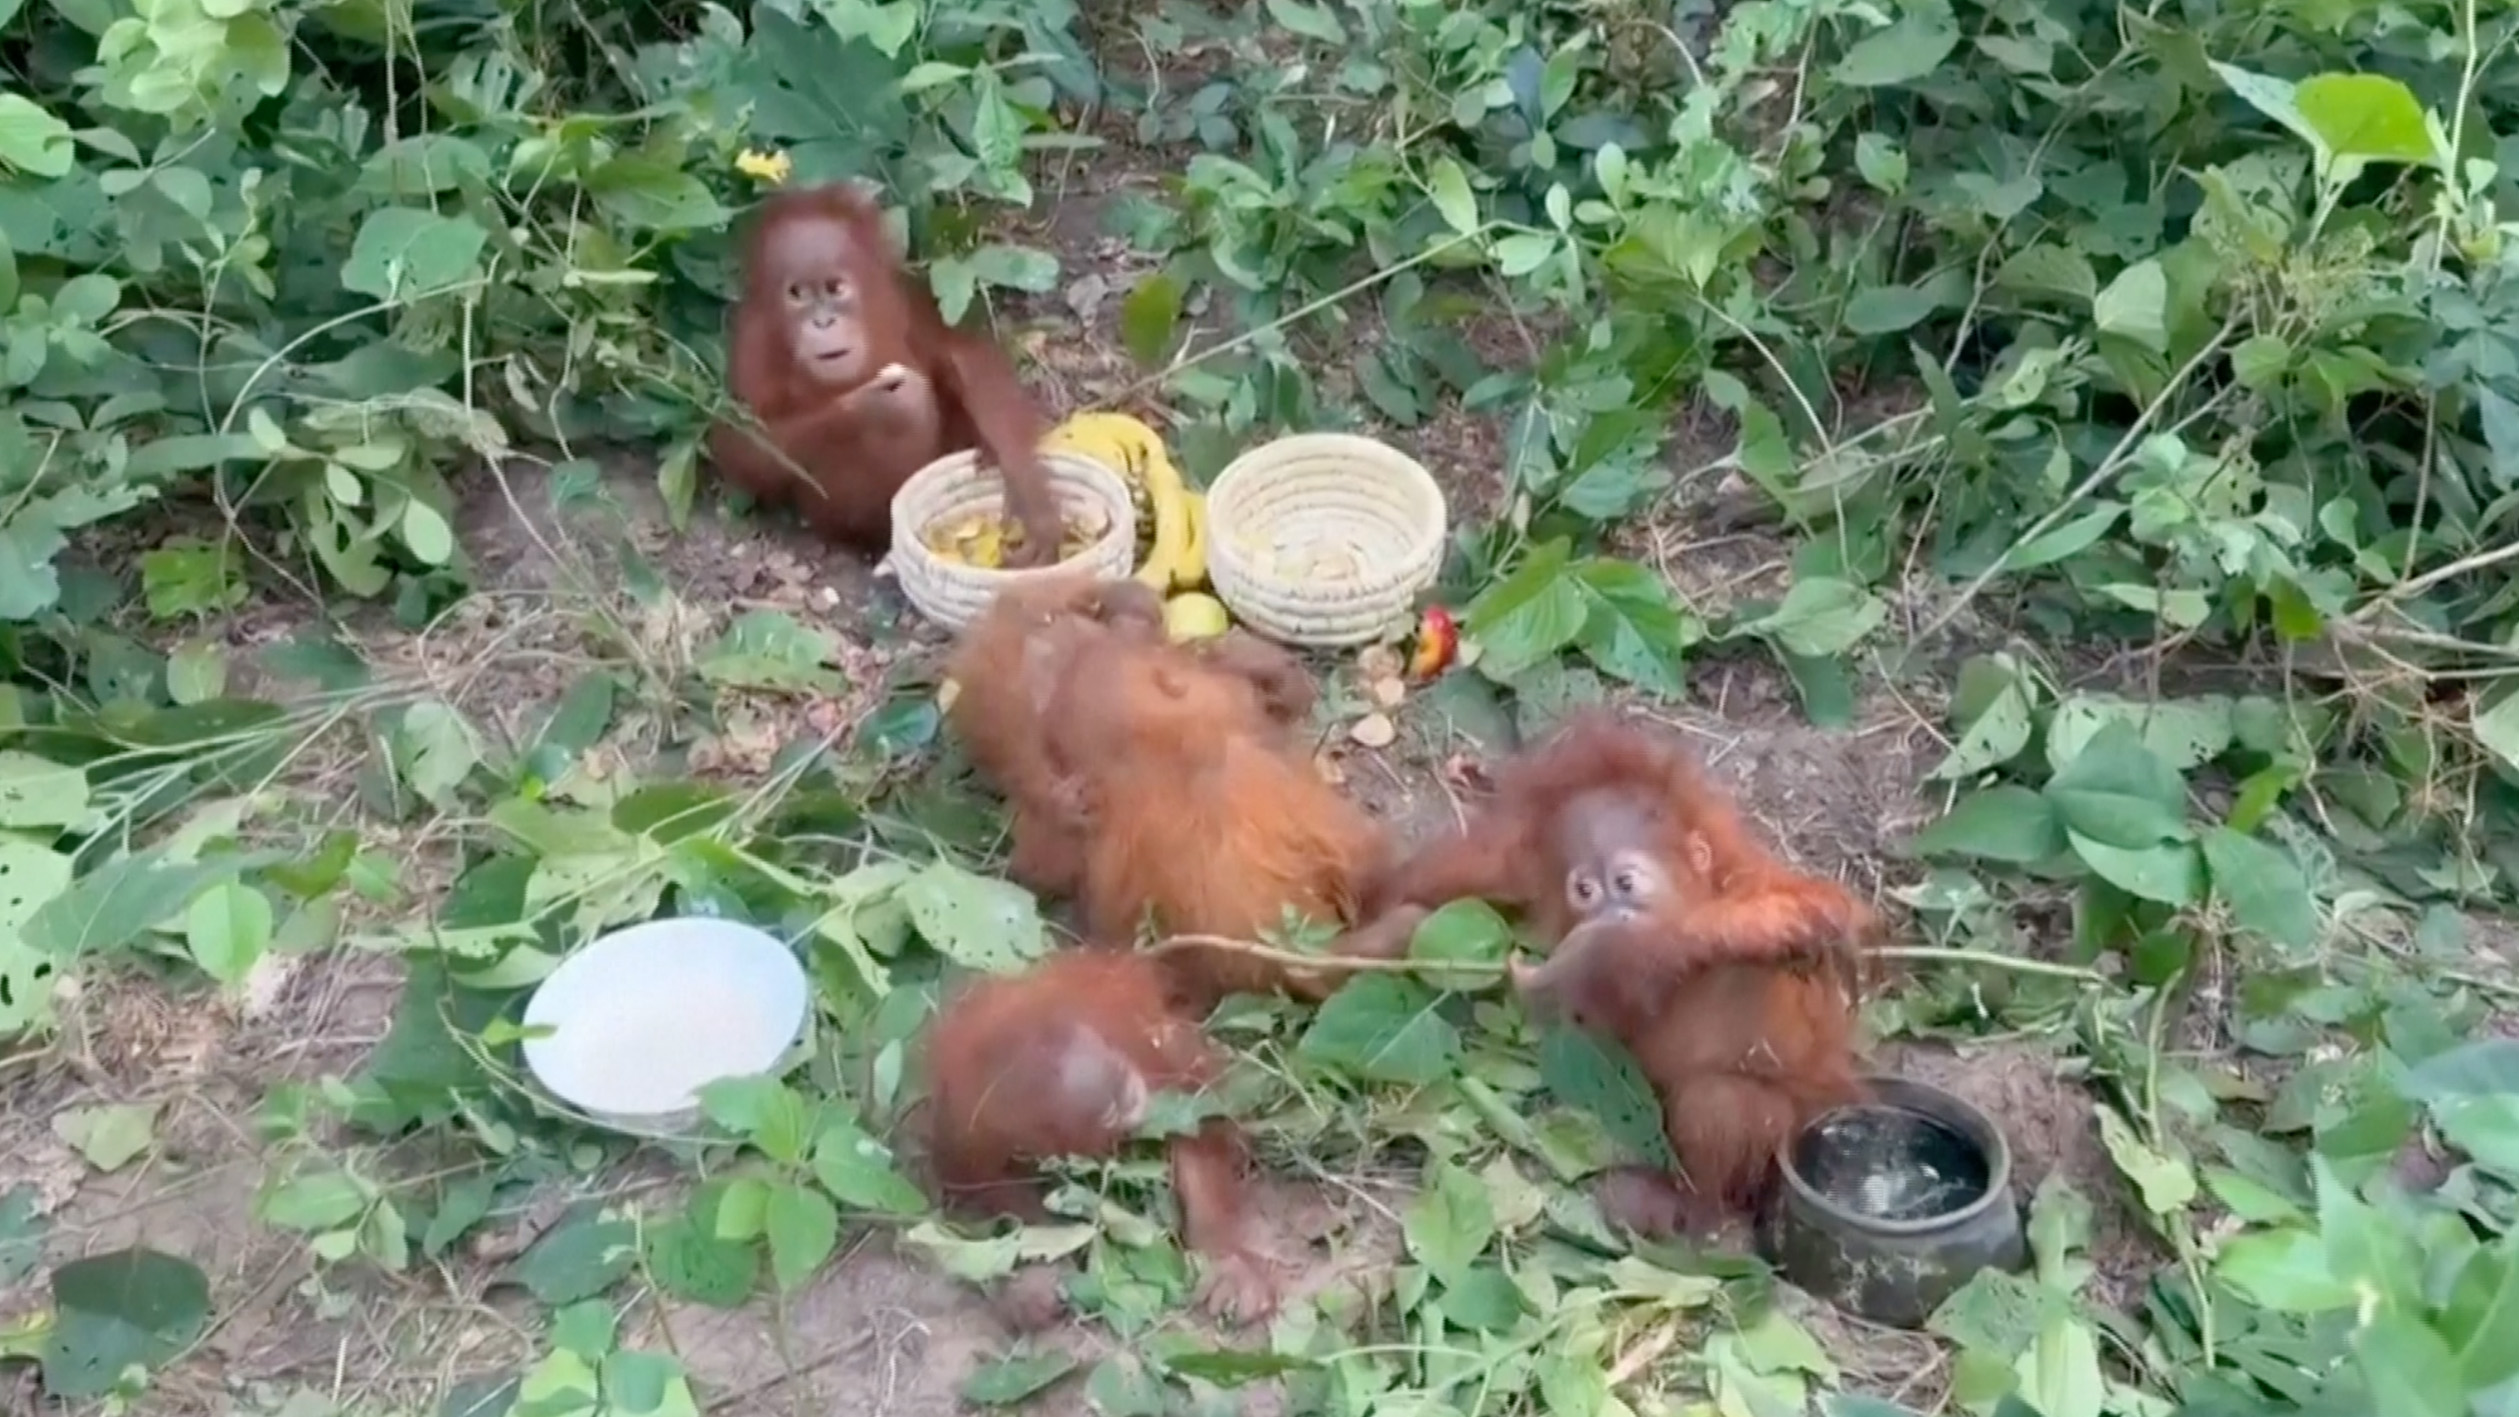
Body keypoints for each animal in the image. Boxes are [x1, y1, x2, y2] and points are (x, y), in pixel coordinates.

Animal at [711, 183, 1064, 564]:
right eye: (797, 294)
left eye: (835, 288)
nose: (823, 322)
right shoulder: (750, 344)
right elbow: (741, 447)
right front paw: (878, 402)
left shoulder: (906, 297)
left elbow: (965, 357)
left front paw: (1031, 496)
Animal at [920, 951, 1284, 1325]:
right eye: (1110, 1110)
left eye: (1118, 1075)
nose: (1126, 1093)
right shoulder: (966, 1130)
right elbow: (981, 1184)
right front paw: (1033, 1271)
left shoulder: (1137, 1040)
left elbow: (1201, 1112)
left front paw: (1228, 1259)